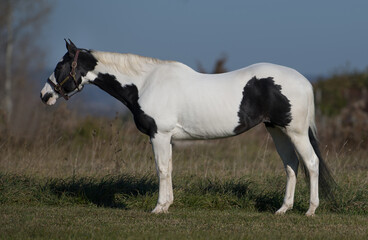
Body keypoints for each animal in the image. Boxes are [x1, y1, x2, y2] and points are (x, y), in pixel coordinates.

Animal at [41, 39, 336, 216]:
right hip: (276, 130)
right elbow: (169, 169)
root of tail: (304, 81)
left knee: (310, 163)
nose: (45, 95)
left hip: (295, 131)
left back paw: (310, 210)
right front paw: (167, 205)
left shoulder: (159, 135)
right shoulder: (168, 138)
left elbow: (161, 169)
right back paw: (283, 209)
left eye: (60, 65)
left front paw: (158, 208)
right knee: (291, 165)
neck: (145, 82)